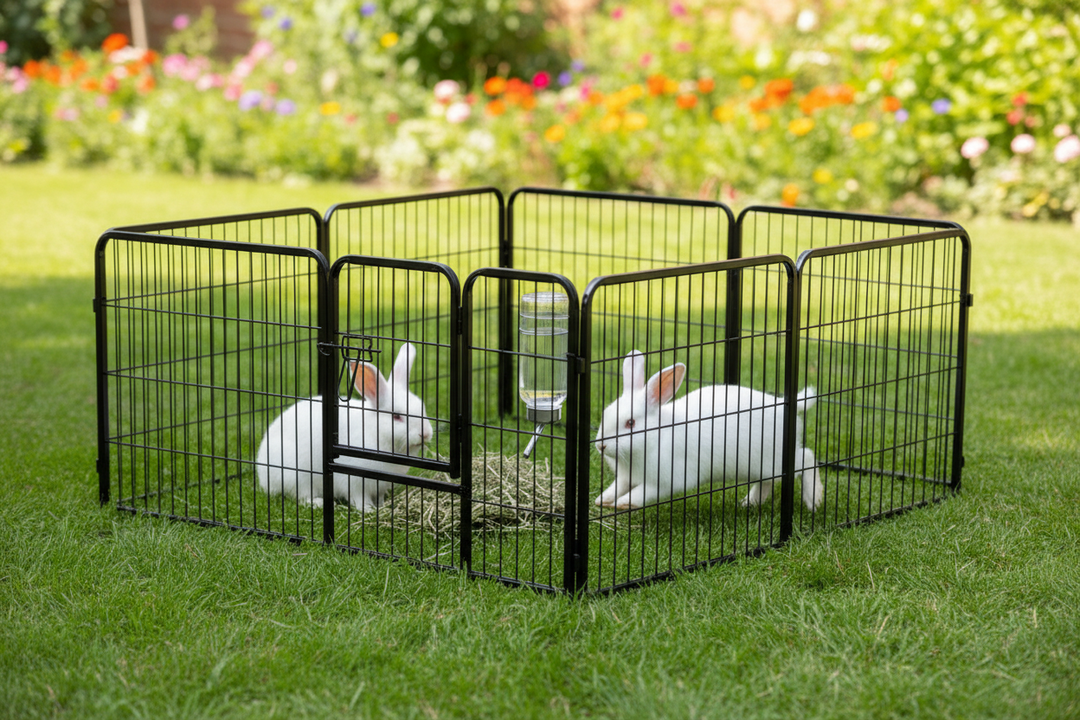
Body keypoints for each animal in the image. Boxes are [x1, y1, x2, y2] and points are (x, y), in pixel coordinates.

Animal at [255, 343, 433, 512]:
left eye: (423, 407)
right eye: (396, 416)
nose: (425, 433)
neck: (375, 433)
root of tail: (262, 473)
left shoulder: (380, 485)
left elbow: (380, 496)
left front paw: (382, 506)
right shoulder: (353, 481)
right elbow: (359, 498)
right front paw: (368, 510)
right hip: (298, 476)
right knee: (302, 496)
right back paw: (319, 503)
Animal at [593, 350, 823, 512]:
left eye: (630, 423)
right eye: (606, 413)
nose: (600, 445)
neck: (655, 436)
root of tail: (786, 405)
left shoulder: (665, 481)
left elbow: (641, 494)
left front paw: (623, 504)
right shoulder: (625, 477)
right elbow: (615, 487)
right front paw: (602, 501)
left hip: (775, 459)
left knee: (807, 458)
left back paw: (815, 501)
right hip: (762, 466)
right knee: (768, 481)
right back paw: (749, 503)